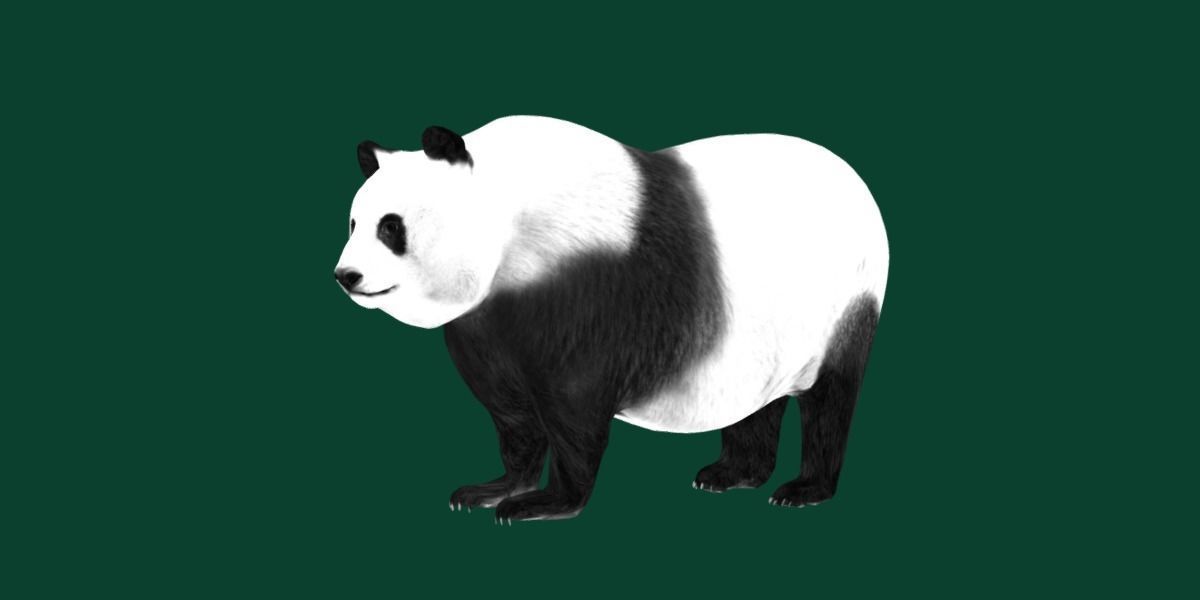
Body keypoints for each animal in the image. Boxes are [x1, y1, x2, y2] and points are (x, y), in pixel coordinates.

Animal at [334, 116, 888, 523]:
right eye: (354, 222)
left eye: (391, 227)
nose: (347, 276)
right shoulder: (488, 324)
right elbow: (512, 412)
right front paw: (492, 488)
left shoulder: (589, 286)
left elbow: (574, 408)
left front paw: (544, 502)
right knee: (757, 397)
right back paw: (731, 474)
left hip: (841, 297)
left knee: (830, 398)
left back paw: (802, 489)